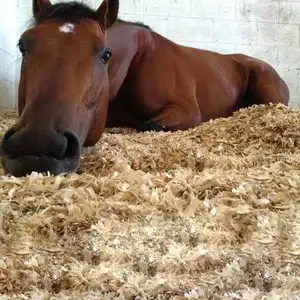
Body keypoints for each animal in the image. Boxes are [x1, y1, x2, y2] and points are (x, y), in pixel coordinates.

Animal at [0, 0, 290, 177]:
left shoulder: (184, 112)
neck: (137, 61)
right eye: (23, 45)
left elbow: (147, 125)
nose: (36, 143)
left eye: (105, 54)